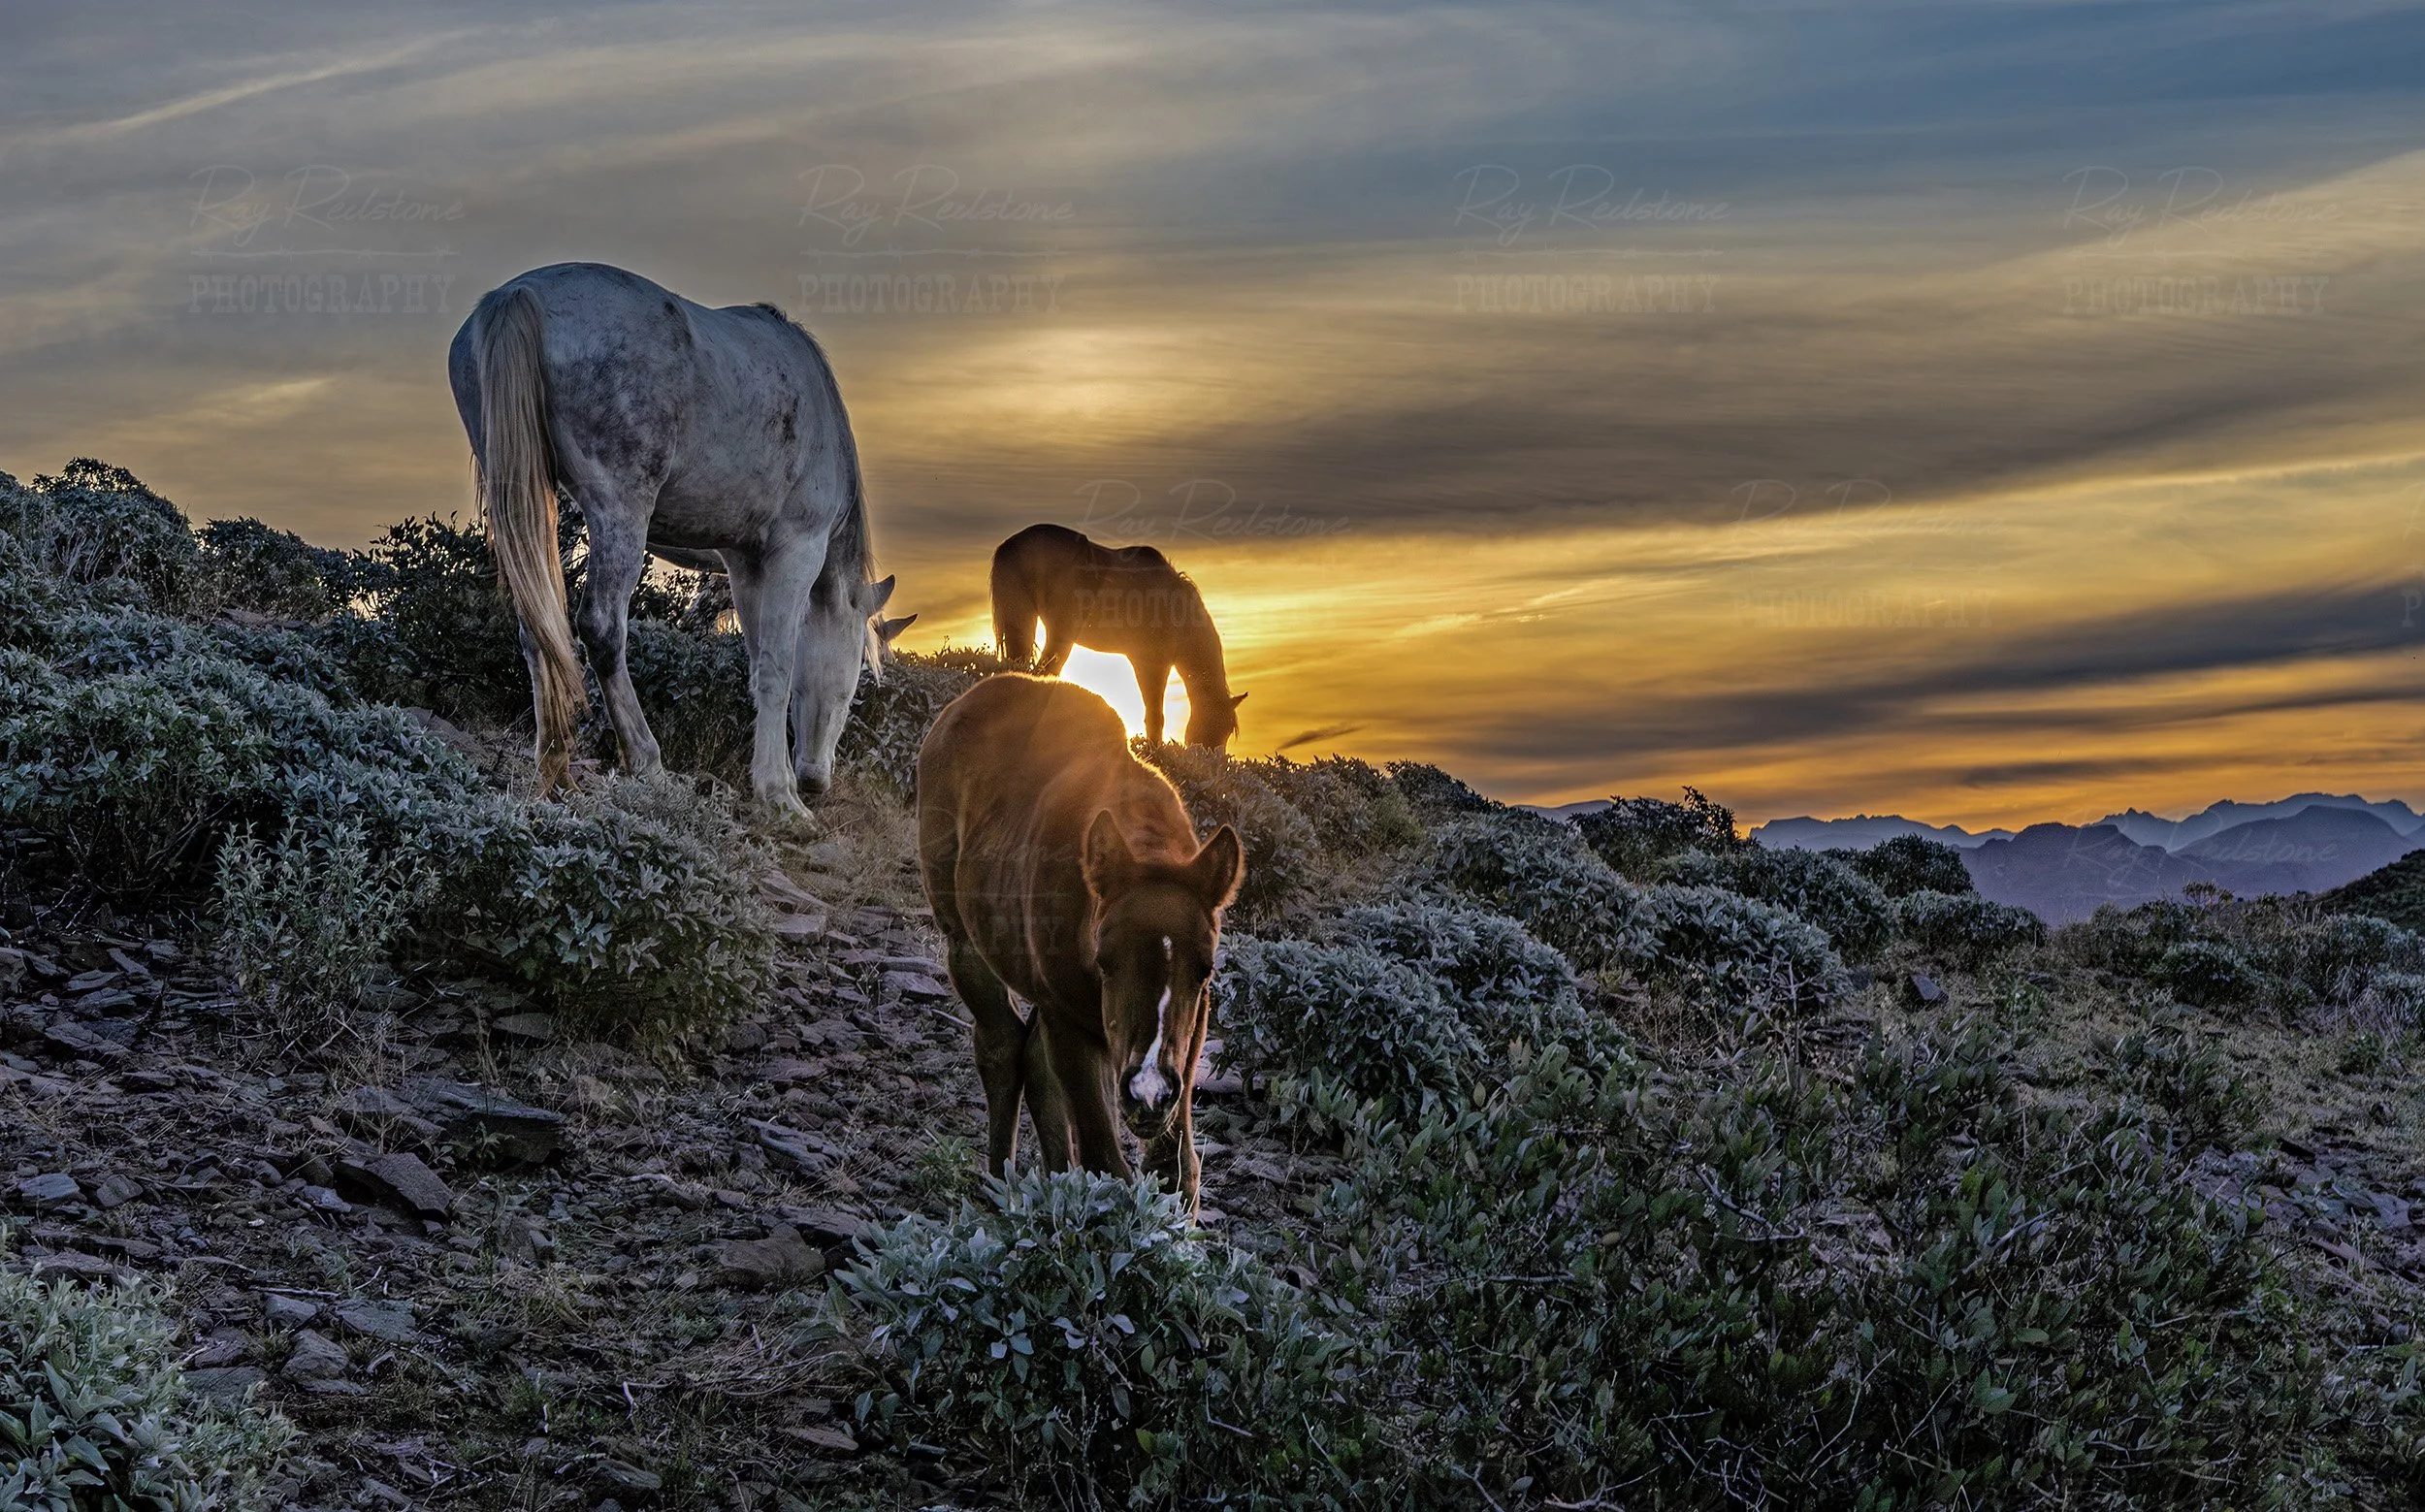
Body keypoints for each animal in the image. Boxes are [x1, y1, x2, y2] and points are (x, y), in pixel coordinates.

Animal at [448, 261, 900, 816]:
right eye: (854, 686)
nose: (816, 780)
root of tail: (518, 294)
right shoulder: (795, 550)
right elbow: (778, 665)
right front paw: (780, 795)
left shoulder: (744, 562)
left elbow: (757, 667)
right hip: (620, 508)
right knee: (602, 627)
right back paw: (646, 761)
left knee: (539, 630)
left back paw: (556, 770)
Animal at [917, 674, 1245, 1211]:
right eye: (1105, 960)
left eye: (1206, 968)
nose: (1148, 1092)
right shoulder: (1068, 1018)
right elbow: (1105, 1162)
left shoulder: (1191, 1032)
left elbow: (1176, 1172)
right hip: (964, 941)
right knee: (1001, 1046)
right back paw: (1002, 1184)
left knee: (1032, 1058)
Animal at [989, 522, 1246, 747]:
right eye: (1216, 724)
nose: (1210, 757)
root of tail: (1012, 545)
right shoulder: (1151, 663)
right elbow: (1155, 714)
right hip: (1060, 631)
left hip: (1023, 619)